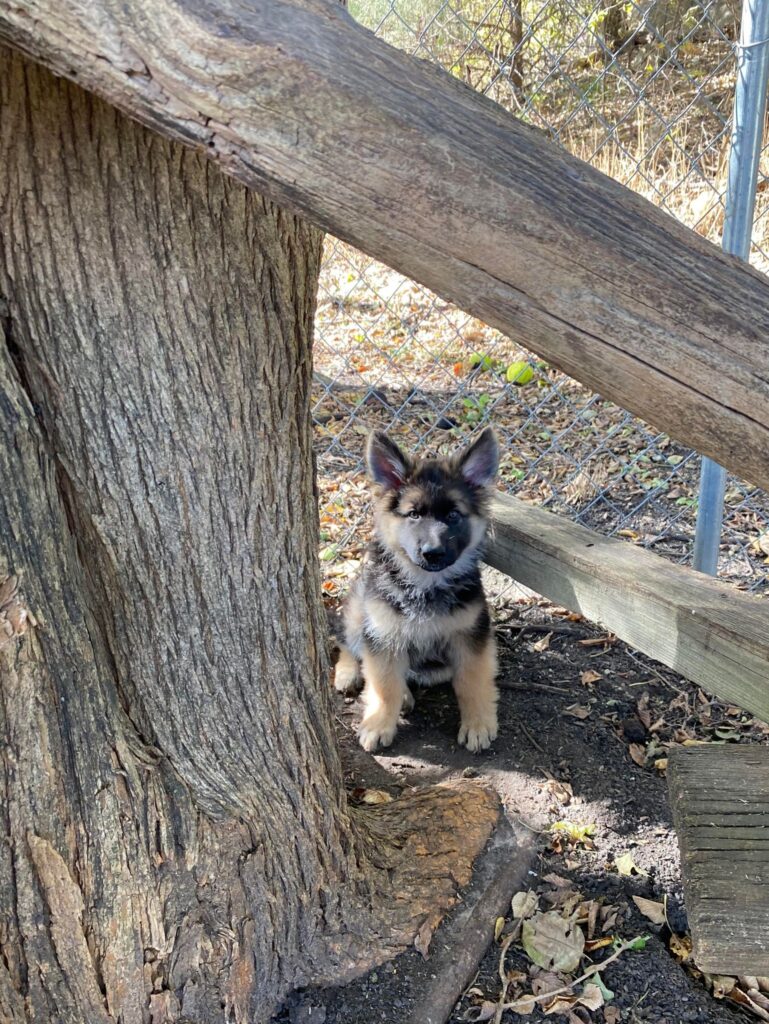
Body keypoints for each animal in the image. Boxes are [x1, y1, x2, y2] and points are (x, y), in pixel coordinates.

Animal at [335, 423, 499, 753]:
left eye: (453, 515)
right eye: (414, 514)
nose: (432, 552)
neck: (426, 586)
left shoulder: (471, 634)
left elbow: (472, 679)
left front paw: (477, 723)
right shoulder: (382, 633)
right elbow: (384, 683)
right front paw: (379, 723)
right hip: (360, 607)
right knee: (346, 641)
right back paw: (348, 673)